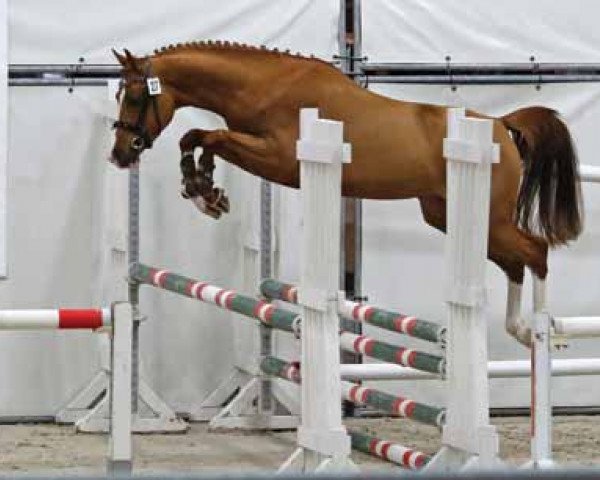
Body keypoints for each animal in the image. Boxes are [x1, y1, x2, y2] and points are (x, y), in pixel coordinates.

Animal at [109, 43, 580, 344]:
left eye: (133, 96)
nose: (119, 153)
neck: (265, 86)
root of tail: (500, 123)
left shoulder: (279, 159)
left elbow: (210, 137)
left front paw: (204, 189)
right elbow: (198, 137)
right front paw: (204, 190)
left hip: (490, 217)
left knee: (535, 251)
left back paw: (538, 332)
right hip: (447, 214)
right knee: (514, 261)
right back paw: (519, 330)